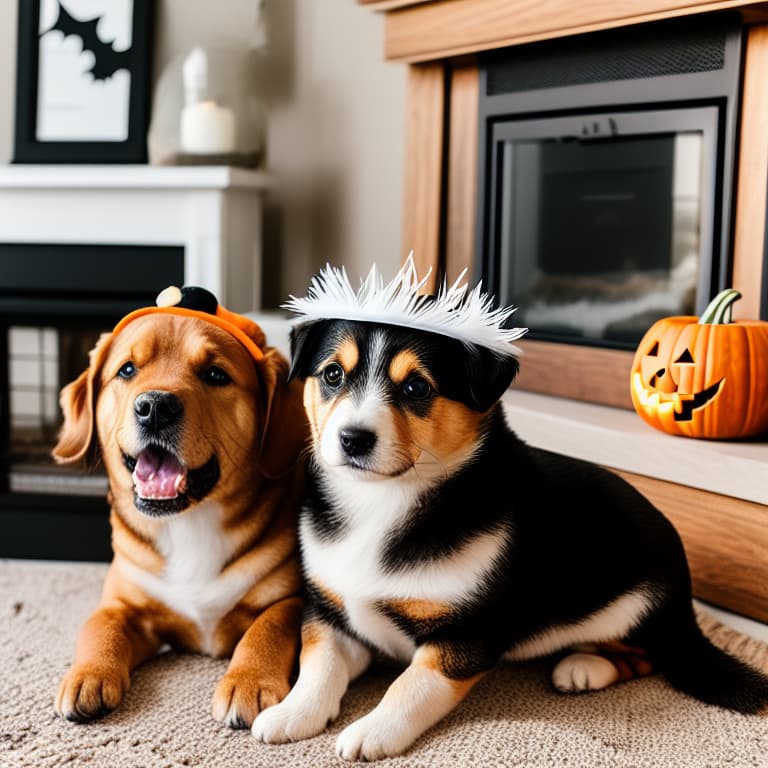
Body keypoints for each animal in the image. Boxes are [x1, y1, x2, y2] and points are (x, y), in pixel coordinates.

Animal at [51, 286, 308, 728]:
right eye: (127, 369)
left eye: (216, 374)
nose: (155, 406)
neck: (189, 523)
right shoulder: (124, 604)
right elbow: (99, 627)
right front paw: (87, 673)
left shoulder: (291, 600)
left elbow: (268, 628)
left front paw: (249, 680)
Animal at [254, 260, 768, 760]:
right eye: (332, 375)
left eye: (417, 387)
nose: (353, 439)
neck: (383, 502)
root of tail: (684, 597)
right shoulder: (331, 615)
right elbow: (318, 664)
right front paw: (292, 713)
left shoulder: (465, 637)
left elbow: (412, 686)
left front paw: (374, 731)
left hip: (634, 608)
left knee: (645, 655)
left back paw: (583, 666)